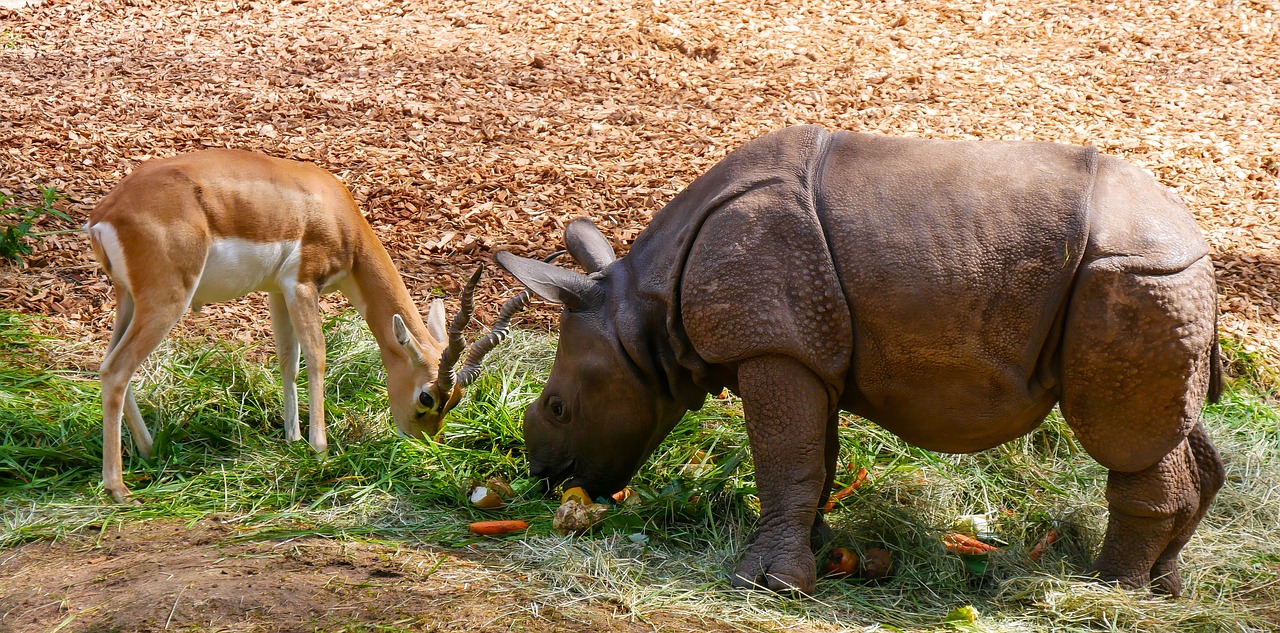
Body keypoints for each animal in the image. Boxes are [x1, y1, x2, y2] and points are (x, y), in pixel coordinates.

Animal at [87, 149, 524, 506]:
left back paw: (149, 451)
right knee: (117, 370)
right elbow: (316, 356)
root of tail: (104, 215)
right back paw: (118, 488)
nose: (425, 445)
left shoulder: (277, 291)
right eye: (426, 398)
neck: (334, 213)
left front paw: (292, 438)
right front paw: (319, 448)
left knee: (108, 365)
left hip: (129, 300)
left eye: (457, 400)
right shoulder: (302, 284)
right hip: (166, 301)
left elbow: (288, 360)